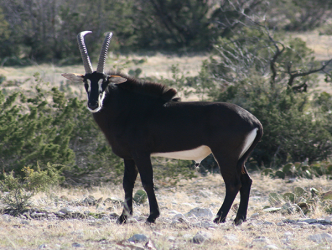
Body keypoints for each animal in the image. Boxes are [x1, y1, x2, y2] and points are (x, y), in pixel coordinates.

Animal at [62, 30, 264, 225]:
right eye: (86, 82)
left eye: (105, 82)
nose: (93, 103)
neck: (128, 109)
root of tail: (254, 121)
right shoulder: (129, 156)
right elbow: (127, 184)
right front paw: (123, 218)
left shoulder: (141, 153)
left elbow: (147, 182)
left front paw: (152, 216)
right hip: (239, 160)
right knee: (246, 182)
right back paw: (238, 219)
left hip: (225, 156)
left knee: (233, 184)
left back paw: (219, 218)